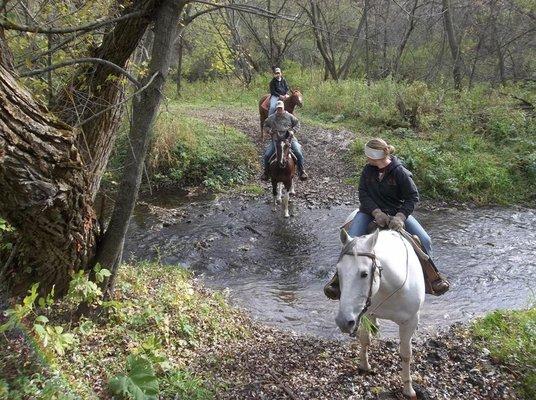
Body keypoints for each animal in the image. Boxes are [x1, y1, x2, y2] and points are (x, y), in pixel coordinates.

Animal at [336, 227, 428, 398]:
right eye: (338, 272)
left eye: (364, 274)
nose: (343, 322)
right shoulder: (363, 312)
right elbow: (364, 340)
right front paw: (364, 366)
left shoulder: (410, 322)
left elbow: (406, 354)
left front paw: (408, 390)